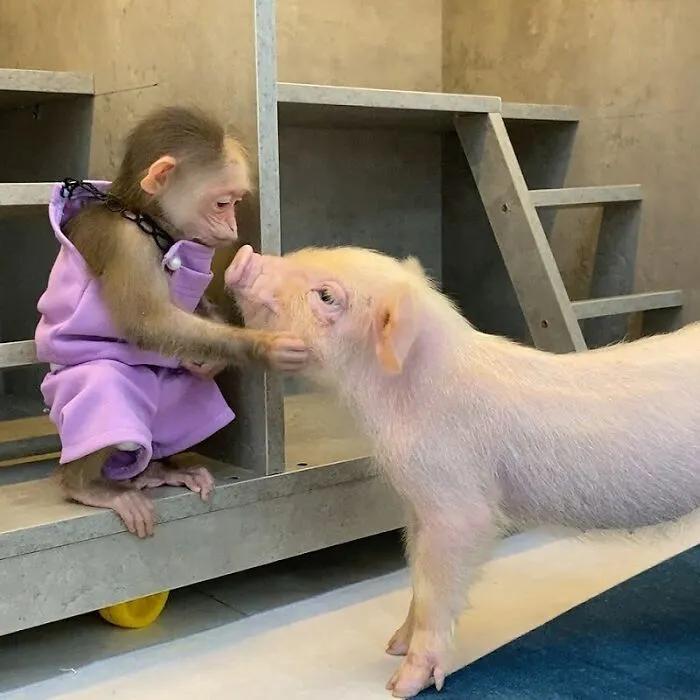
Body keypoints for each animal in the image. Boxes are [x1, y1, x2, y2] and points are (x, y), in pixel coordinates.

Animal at [34, 106, 308, 538]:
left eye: (235, 203)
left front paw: (215, 359)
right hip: (66, 395)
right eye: (222, 204)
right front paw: (265, 346)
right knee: (105, 389)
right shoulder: (124, 242)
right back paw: (87, 486)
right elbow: (149, 321)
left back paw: (158, 470)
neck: (148, 220)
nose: (233, 227)